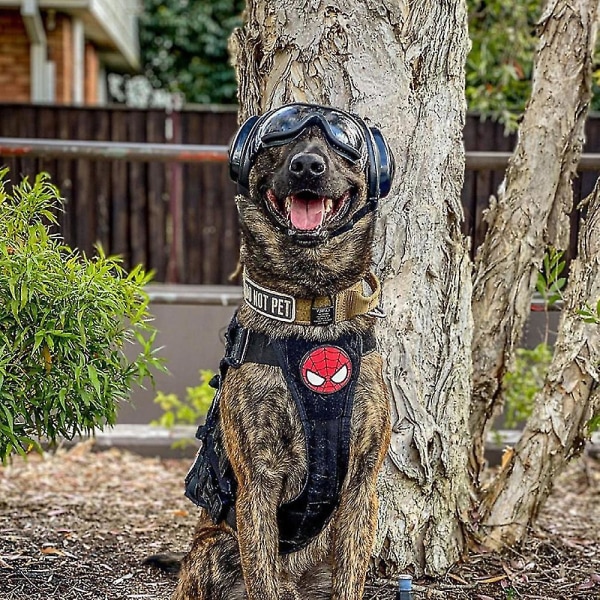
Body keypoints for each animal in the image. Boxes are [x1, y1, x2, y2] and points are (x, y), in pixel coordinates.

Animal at [150, 108, 394, 600]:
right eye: (280, 137)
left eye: (342, 141)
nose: (307, 166)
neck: (312, 313)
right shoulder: (258, 484)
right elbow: (261, 574)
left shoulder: (362, 485)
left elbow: (351, 578)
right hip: (213, 552)